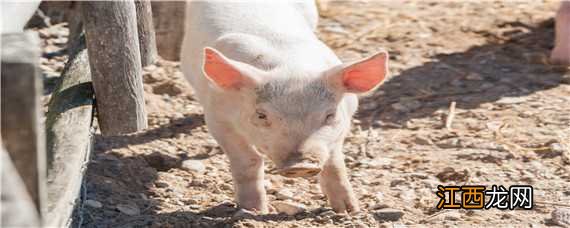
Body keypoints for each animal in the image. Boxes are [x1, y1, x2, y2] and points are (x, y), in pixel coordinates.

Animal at [180, 0, 388, 214]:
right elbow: (248, 161)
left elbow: (334, 162)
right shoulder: (216, 116)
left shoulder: (346, 118)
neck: (291, 67)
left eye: (330, 115)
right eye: (261, 115)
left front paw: (349, 210)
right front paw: (254, 210)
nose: (300, 164)